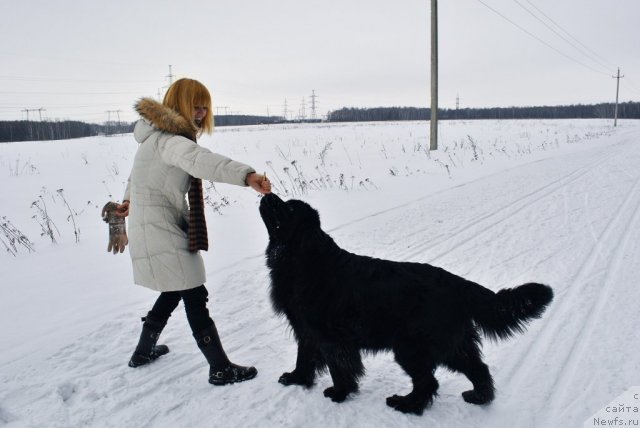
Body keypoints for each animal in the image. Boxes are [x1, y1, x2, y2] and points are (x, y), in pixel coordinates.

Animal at [258, 194, 552, 414]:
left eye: (288, 208)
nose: (267, 195)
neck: (304, 258)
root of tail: (456, 283)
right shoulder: (306, 329)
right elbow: (304, 357)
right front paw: (296, 378)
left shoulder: (331, 337)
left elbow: (338, 367)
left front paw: (339, 393)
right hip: (452, 344)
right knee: (477, 368)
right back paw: (478, 397)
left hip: (411, 346)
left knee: (428, 381)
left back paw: (406, 405)